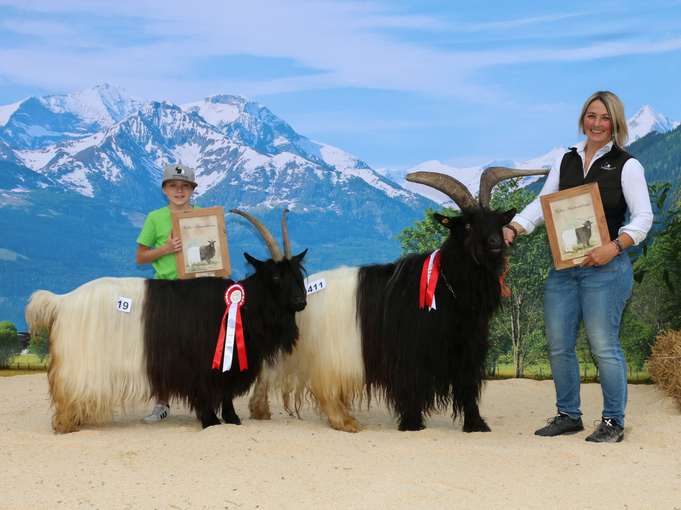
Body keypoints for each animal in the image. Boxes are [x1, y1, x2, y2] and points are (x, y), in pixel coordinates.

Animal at [23, 209, 306, 432]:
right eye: (276, 276)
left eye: (298, 274)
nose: (301, 301)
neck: (242, 306)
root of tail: (62, 301)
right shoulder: (204, 364)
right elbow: (208, 392)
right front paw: (211, 421)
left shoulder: (230, 361)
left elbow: (225, 393)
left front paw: (231, 419)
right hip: (81, 364)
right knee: (67, 391)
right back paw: (66, 425)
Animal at [250, 169, 548, 432]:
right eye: (467, 224)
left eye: (497, 221)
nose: (497, 242)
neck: (447, 289)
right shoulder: (408, 352)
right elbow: (410, 386)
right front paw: (412, 423)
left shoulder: (467, 349)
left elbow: (467, 386)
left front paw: (475, 425)